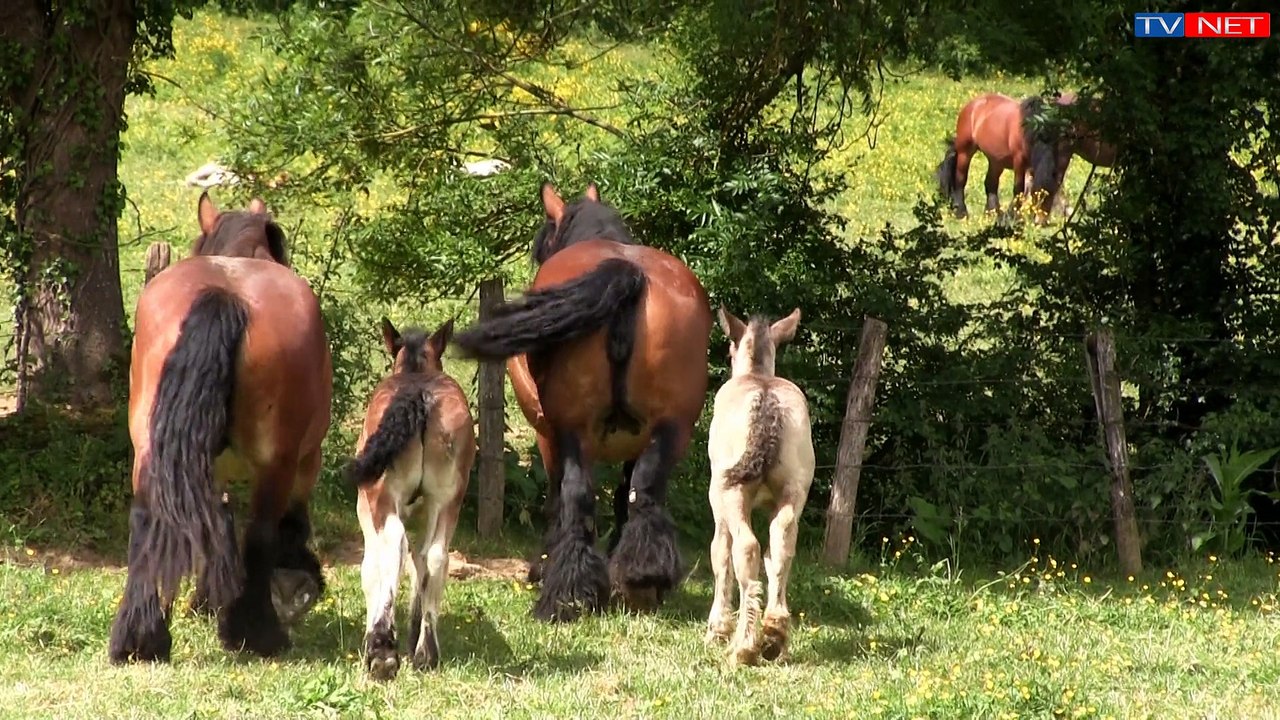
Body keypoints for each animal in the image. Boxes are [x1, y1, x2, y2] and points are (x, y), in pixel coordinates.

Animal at [108, 192, 333, 664]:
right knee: (260, 532)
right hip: (277, 463)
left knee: (149, 520)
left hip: (152, 450)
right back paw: (257, 634)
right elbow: (284, 524)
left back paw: (141, 638)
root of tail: (223, 296)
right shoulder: (307, 459)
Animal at [345, 317, 475, 681]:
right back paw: (426, 652)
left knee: (394, 544)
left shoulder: (367, 506)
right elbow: (421, 564)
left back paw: (382, 652)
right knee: (435, 555)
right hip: (447, 500)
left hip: (379, 495)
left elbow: (372, 568)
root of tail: (419, 394)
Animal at [451, 182, 712, 622]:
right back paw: (643, 581)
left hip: (571, 429)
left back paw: (565, 594)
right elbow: (624, 494)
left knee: (576, 495)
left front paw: (542, 565)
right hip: (672, 428)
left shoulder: (547, 434)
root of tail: (629, 275)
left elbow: (556, 499)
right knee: (645, 493)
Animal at [704, 307, 814, 666]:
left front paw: (716, 629)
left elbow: (720, 555)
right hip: (794, 489)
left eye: (729, 351)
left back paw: (745, 645)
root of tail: (766, 400)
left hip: (732, 491)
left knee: (747, 547)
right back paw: (775, 634)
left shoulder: (718, 503)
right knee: (781, 545)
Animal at [935, 92, 1060, 223]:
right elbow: (1018, 189)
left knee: (990, 183)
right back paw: (961, 213)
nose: (1040, 222)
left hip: (996, 161)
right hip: (965, 152)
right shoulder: (1019, 162)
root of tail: (973, 104)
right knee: (960, 180)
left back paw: (992, 213)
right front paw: (1013, 217)